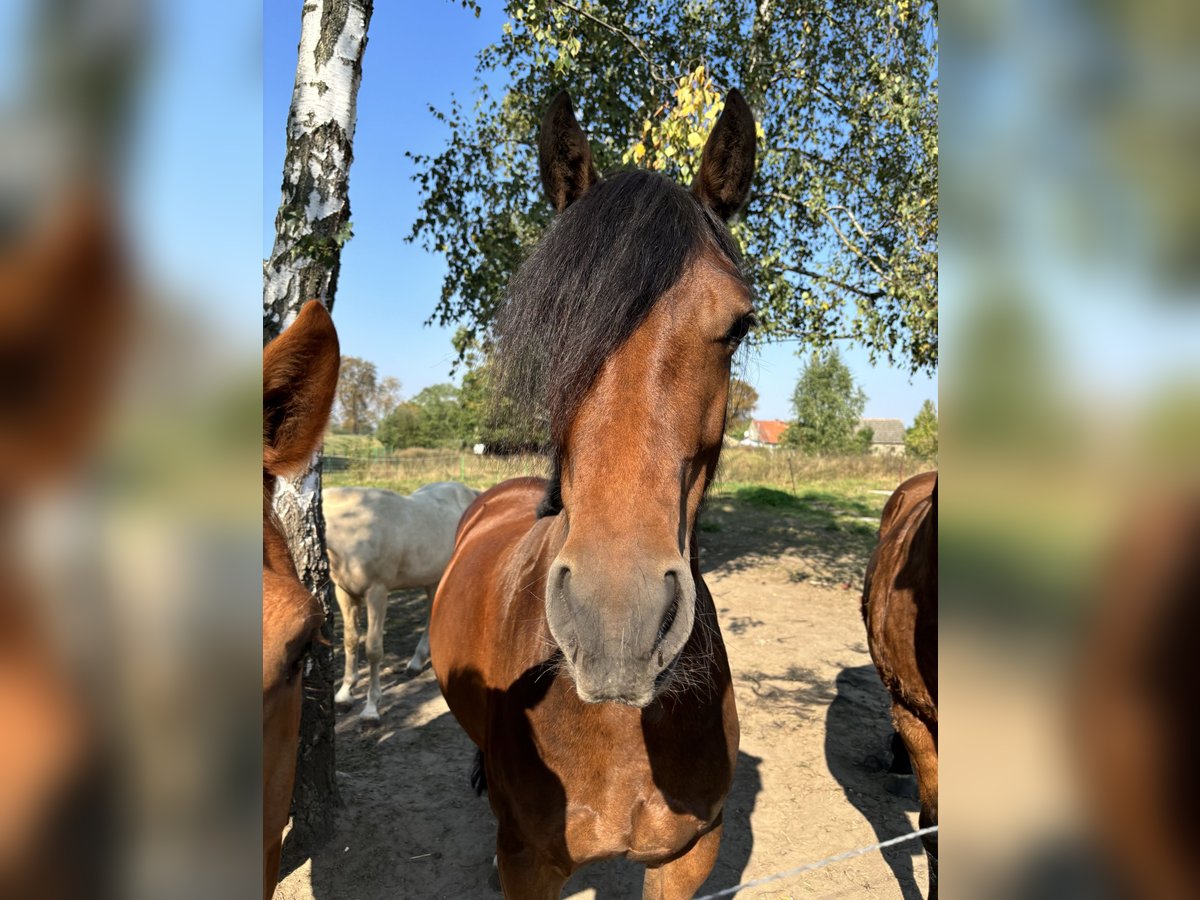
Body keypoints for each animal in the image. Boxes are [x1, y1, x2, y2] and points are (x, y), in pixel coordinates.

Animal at [328, 482, 482, 724]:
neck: (352, 528)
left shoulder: (377, 592)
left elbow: (373, 649)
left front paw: (371, 709)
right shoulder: (345, 593)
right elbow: (350, 640)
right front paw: (344, 695)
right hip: (433, 579)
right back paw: (416, 663)